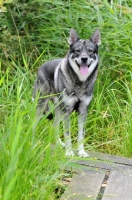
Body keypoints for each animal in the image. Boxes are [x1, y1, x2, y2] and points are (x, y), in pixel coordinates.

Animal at [33, 28, 101, 157]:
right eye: (77, 50)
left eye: (90, 51)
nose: (84, 58)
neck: (80, 82)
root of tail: (41, 67)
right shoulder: (67, 112)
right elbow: (68, 134)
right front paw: (69, 152)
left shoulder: (83, 112)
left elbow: (80, 135)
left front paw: (81, 152)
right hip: (42, 107)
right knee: (34, 123)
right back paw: (32, 140)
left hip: (59, 111)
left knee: (54, 126)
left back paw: (59, 144)